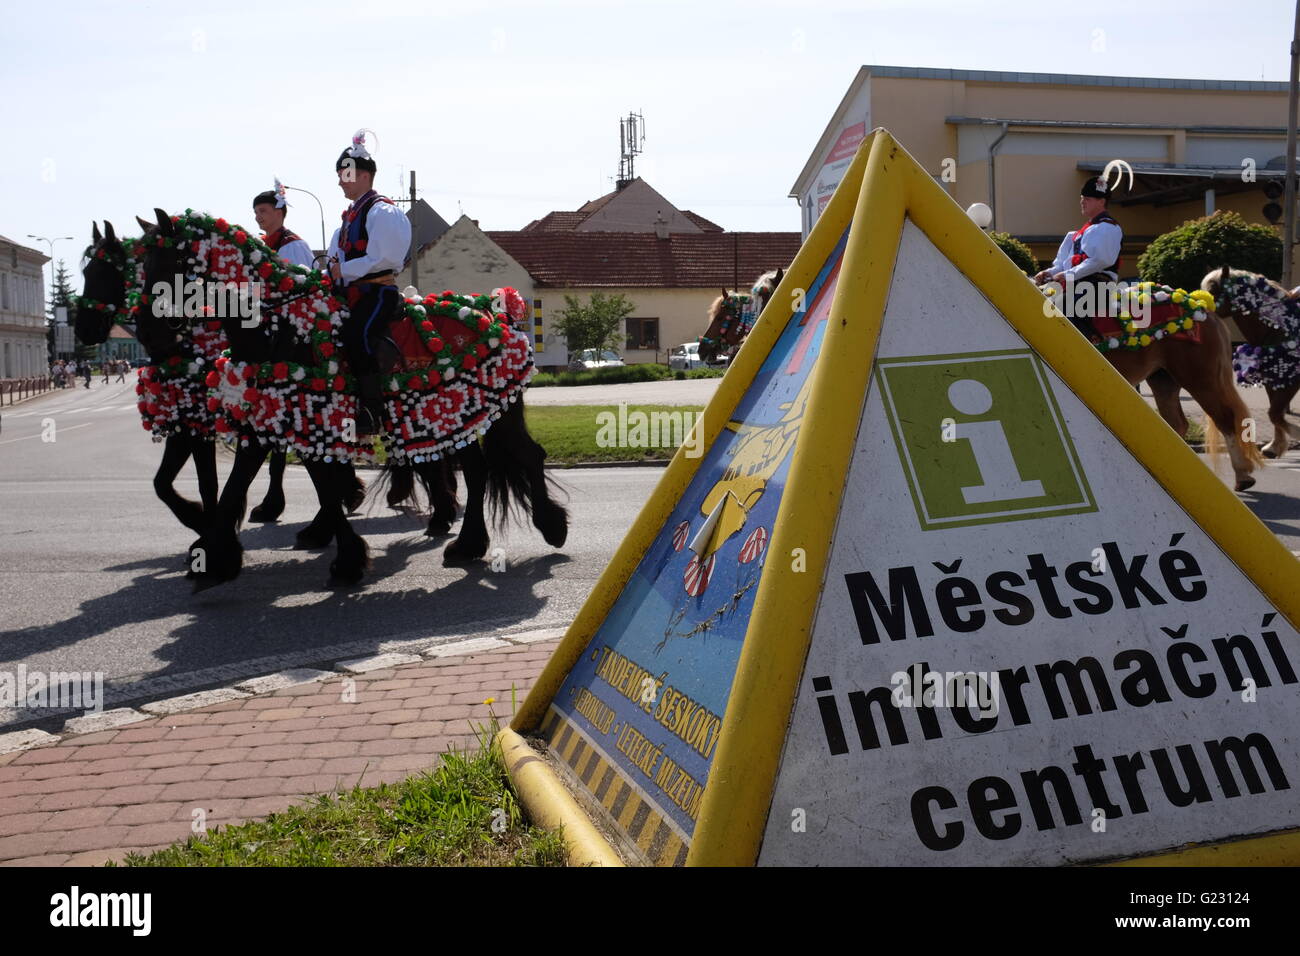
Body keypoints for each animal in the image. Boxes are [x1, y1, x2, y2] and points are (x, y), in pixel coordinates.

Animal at [125, 205, 564, 587]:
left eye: (168, 265)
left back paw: (550, 526)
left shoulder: (309, 416)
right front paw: (213, 556)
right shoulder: (267, 418)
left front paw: (346, 559)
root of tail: (495, 309)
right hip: (454, 413)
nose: (147, 332)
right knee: (476, 469)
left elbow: (320, 485)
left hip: (486, 407)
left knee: (524, 456)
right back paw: (468, 543)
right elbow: (237, 487)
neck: (282, 325)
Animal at [1196, 267, 1300, 463]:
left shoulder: (1290, 382)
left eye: (1213, 290)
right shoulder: (1273, 382)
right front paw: (1274, 447)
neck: (1280, 328)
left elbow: (1275, 414)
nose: (1201, 314)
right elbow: (1275, 414)